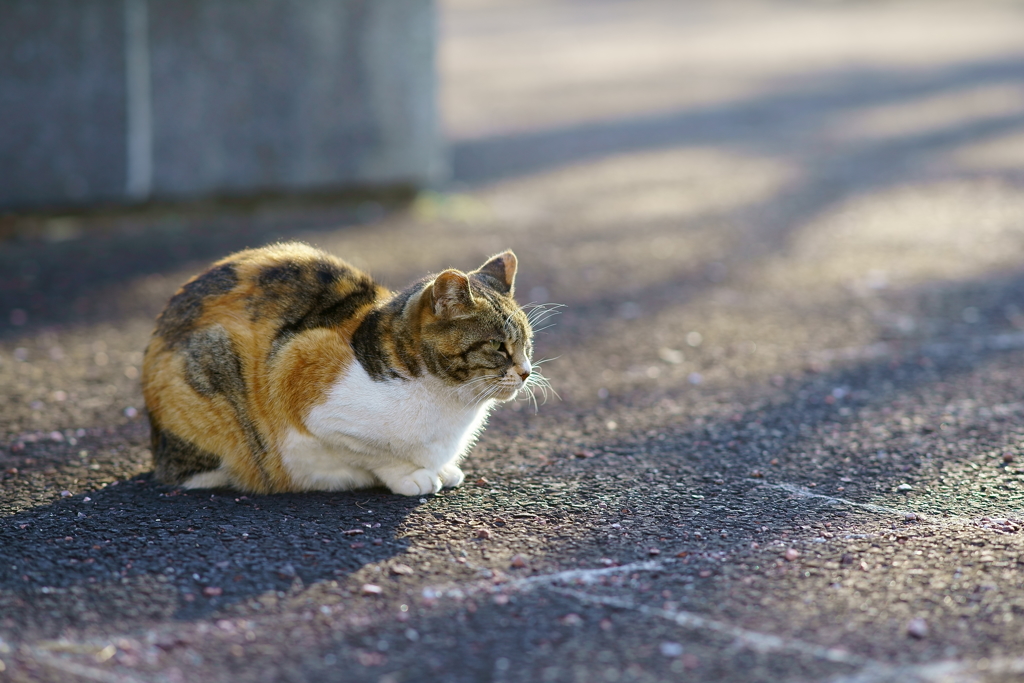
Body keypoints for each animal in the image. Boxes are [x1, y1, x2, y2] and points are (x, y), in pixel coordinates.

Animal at [142, 244, 544, 497]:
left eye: (527, 344)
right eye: (498, 347)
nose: (526, 372)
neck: (449, 403)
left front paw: (442, 470)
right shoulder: (307, 392)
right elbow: (376, 454)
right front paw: (412, 476)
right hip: (213, 362)